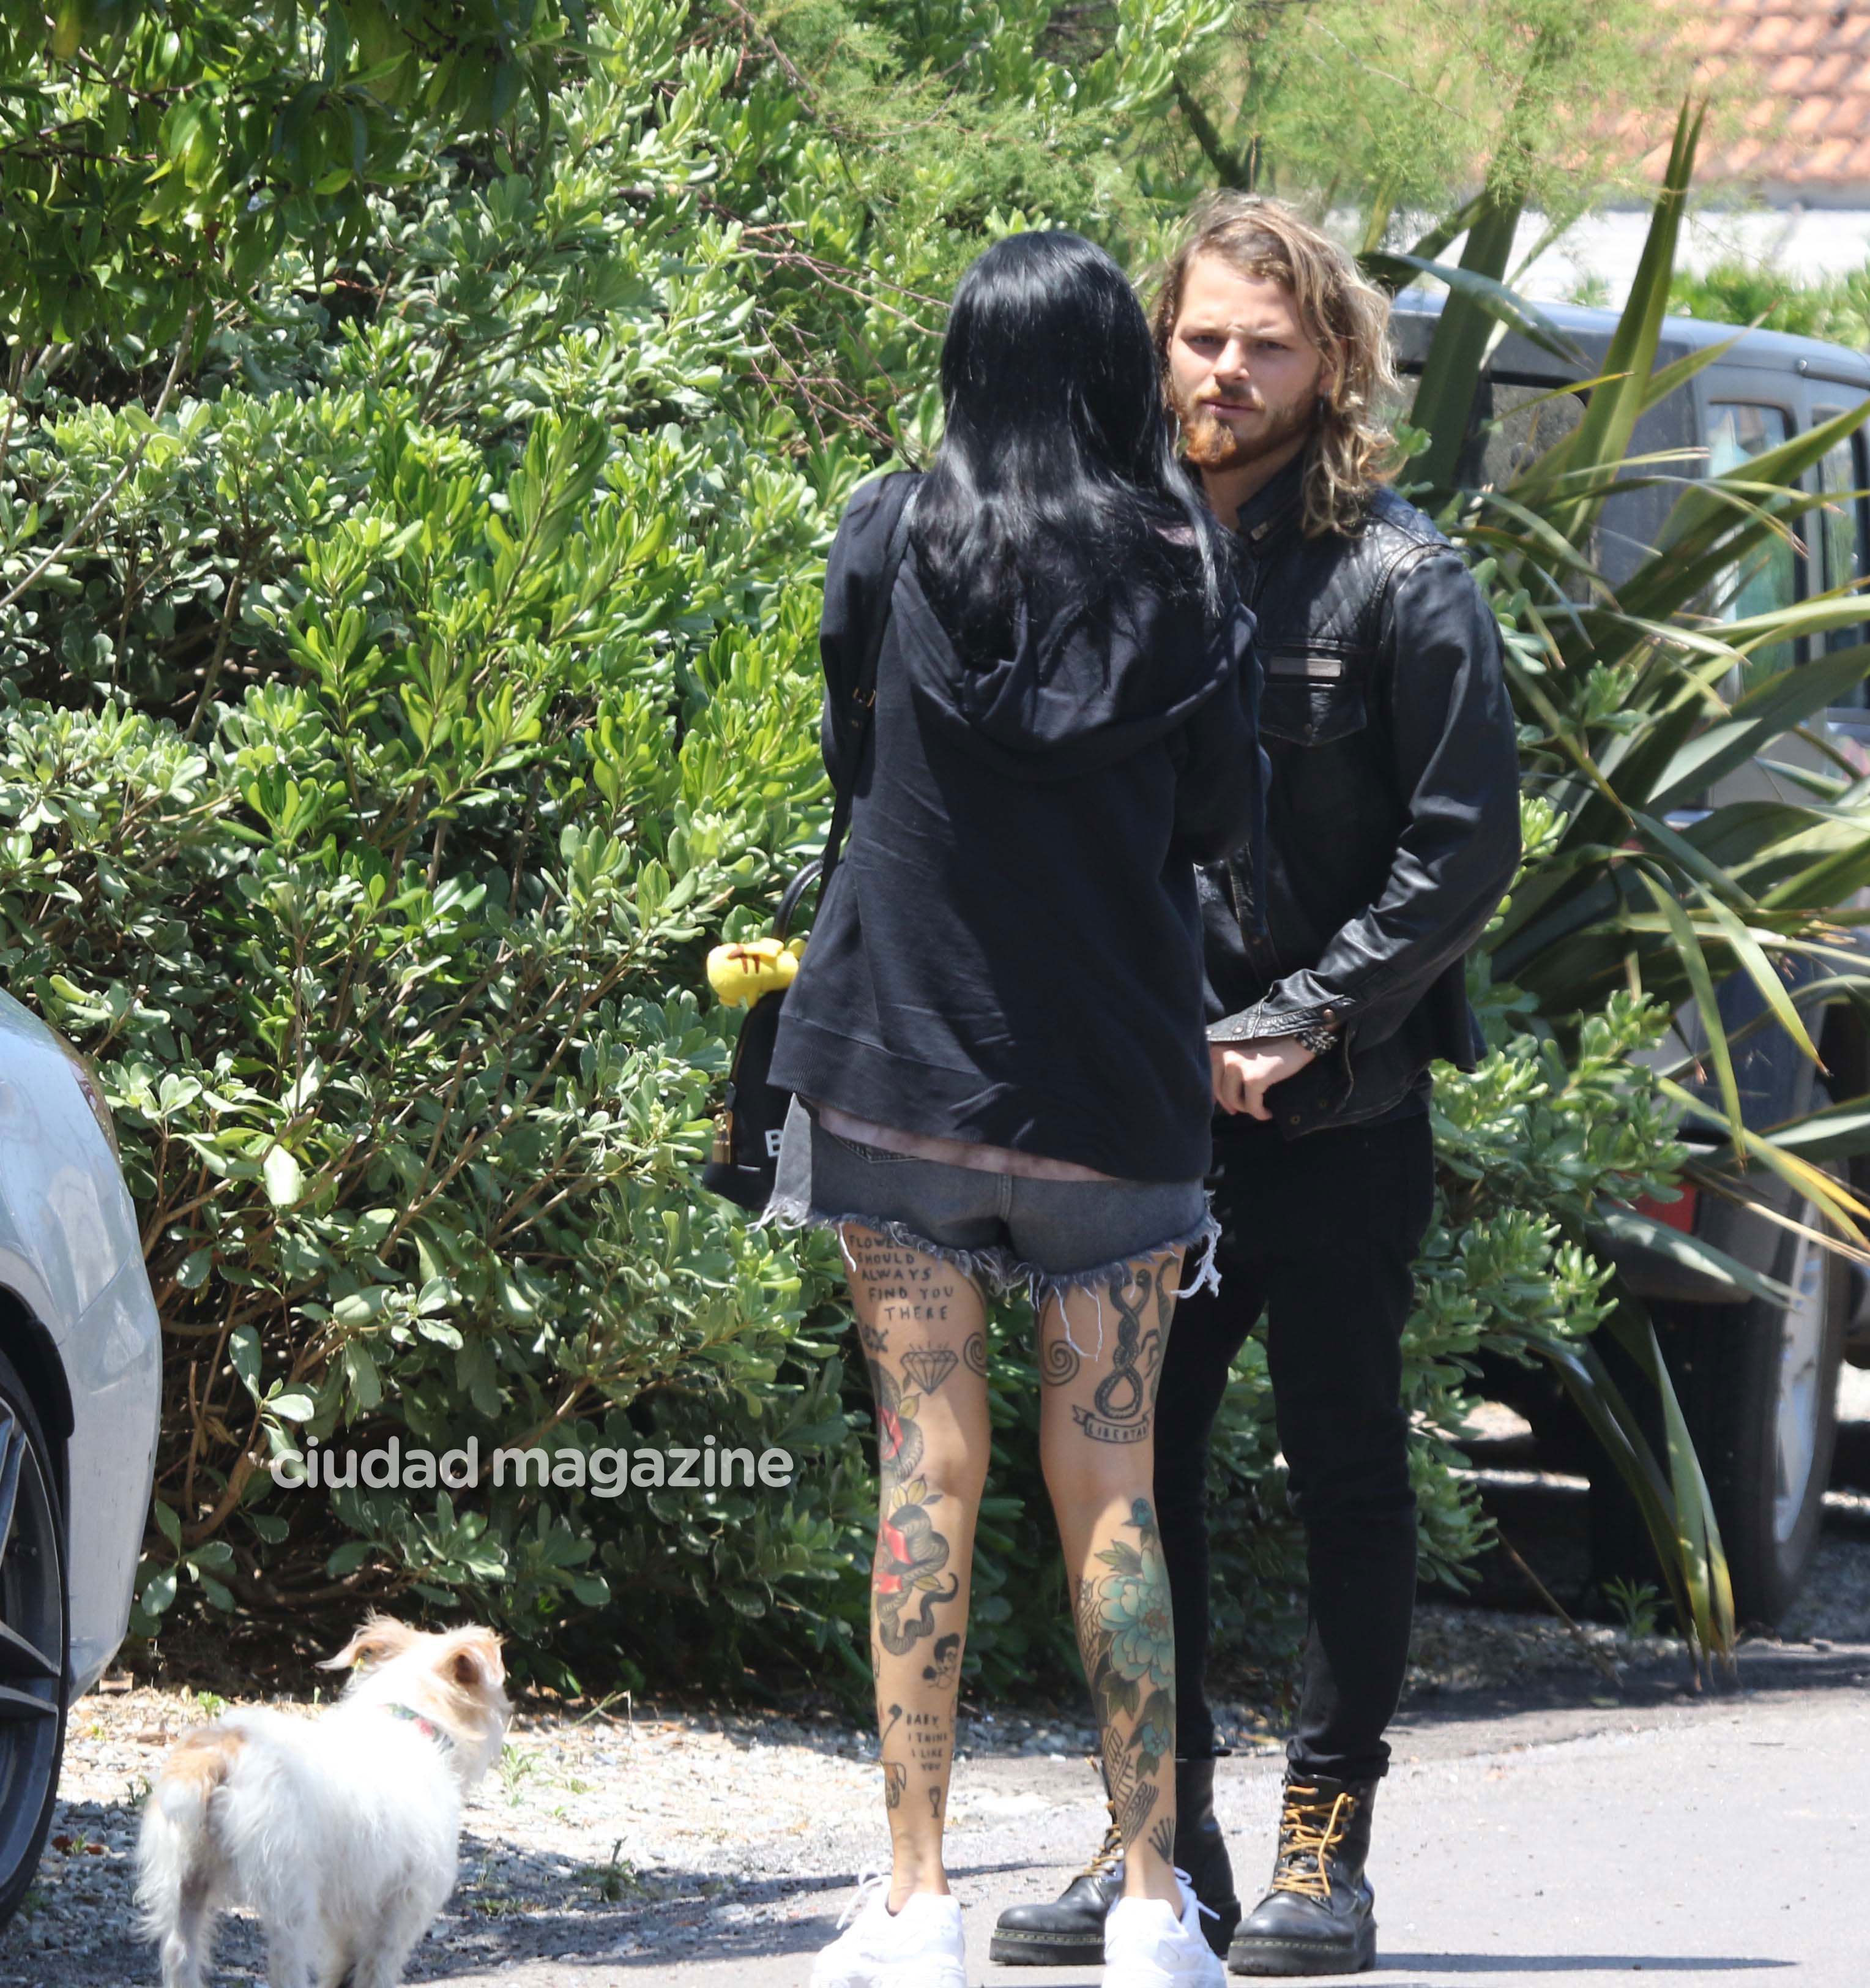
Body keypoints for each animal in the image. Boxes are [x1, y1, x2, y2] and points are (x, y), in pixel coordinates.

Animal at [132, 1614, 512, 1988]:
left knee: (180, 1953)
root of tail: (222, 1748)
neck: (411, 1715)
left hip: (184, 1883)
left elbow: (345, 1967)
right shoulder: (403, 1905)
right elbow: (376, 1967)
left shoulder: (352, 1908)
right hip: (291, 1899)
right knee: (286, 1969)